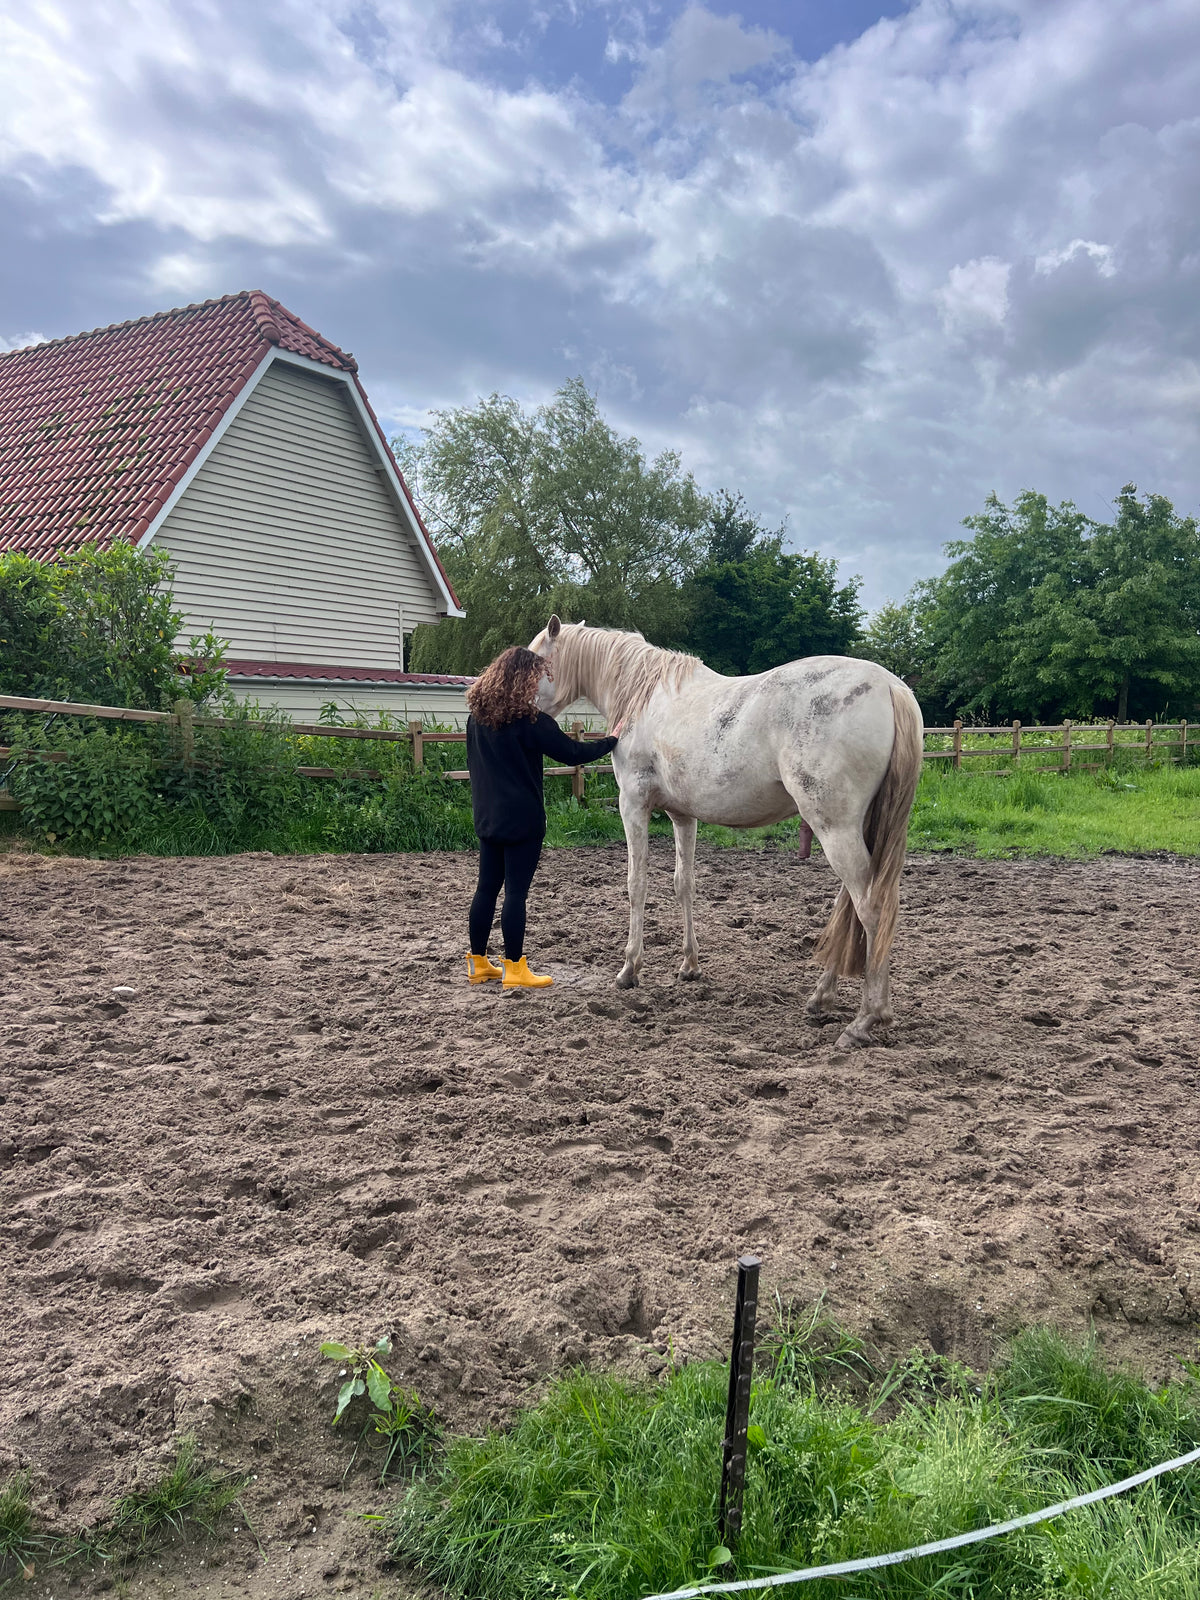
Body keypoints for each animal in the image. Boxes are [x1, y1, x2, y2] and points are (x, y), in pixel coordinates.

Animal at [529, 616, 924, 1049]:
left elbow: (637, 885)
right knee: (851, 905)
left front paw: (630, 969)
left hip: (834, 828)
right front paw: (689, 966)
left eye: (534, 662)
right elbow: (684, 884)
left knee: (870, 907)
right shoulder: (683, 817)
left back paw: (866, 1019)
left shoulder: (632, 805)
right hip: (854, 828)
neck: (642, 696)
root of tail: (890, 686)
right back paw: (823, 997)